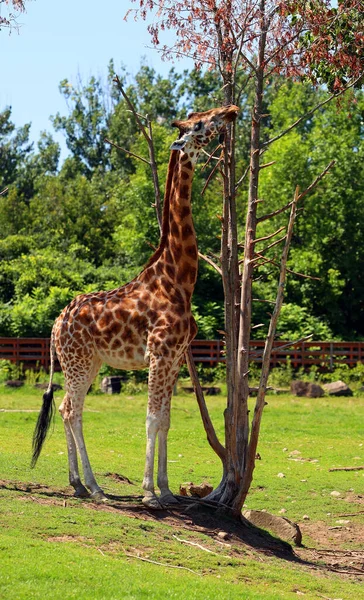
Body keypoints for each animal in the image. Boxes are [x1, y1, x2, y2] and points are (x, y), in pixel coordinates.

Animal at [32, 105, 239, 508]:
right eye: (200, 124)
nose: (231, 111)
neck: (178, 280)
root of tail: (56, 324)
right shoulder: (159, 353)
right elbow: (151, 419)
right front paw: (148, 494)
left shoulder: (175, 358)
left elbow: (166, 420)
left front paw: (167, 489)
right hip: (77, 362)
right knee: (72, 410)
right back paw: (94, 488)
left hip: (89, 363)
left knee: (65, 409)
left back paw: (79, 484)